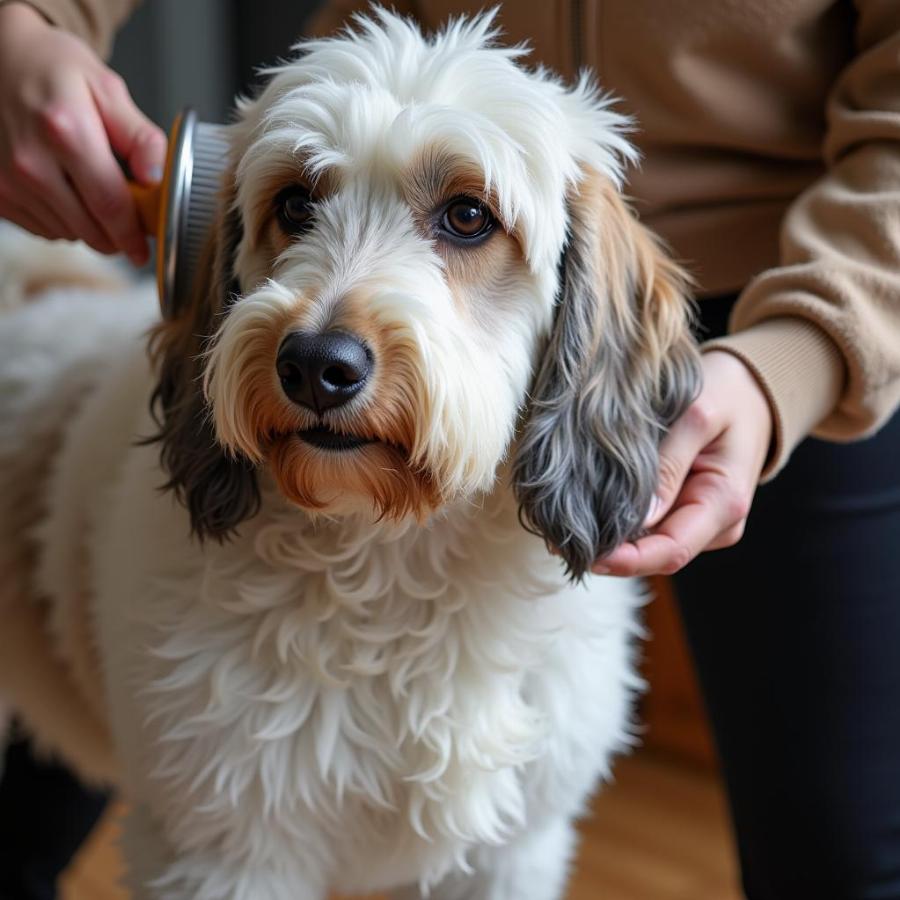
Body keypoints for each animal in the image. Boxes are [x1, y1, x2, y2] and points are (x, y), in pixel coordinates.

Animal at [0, 8, 696, 900]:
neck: (391, 565)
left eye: (468, 216)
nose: (313, 365)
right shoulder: (225, 853)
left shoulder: (511, 854)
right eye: (296, 202)